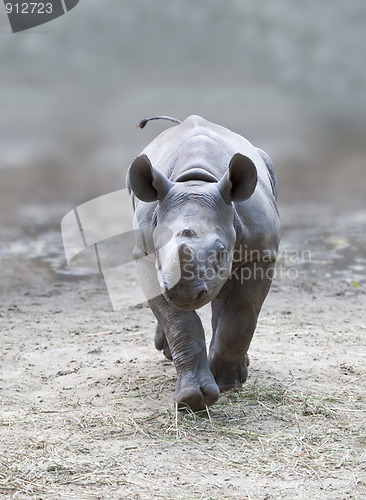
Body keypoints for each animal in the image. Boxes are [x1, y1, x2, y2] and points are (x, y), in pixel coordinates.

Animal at [126, 114, 280, 410]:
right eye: (159, 251)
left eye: (221, 252)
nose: (184, 293)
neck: (196, 185)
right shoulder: (145, 256)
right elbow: (179, 323)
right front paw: (193, 399)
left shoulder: (261, 253)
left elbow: (242, 314)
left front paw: (227, 382)